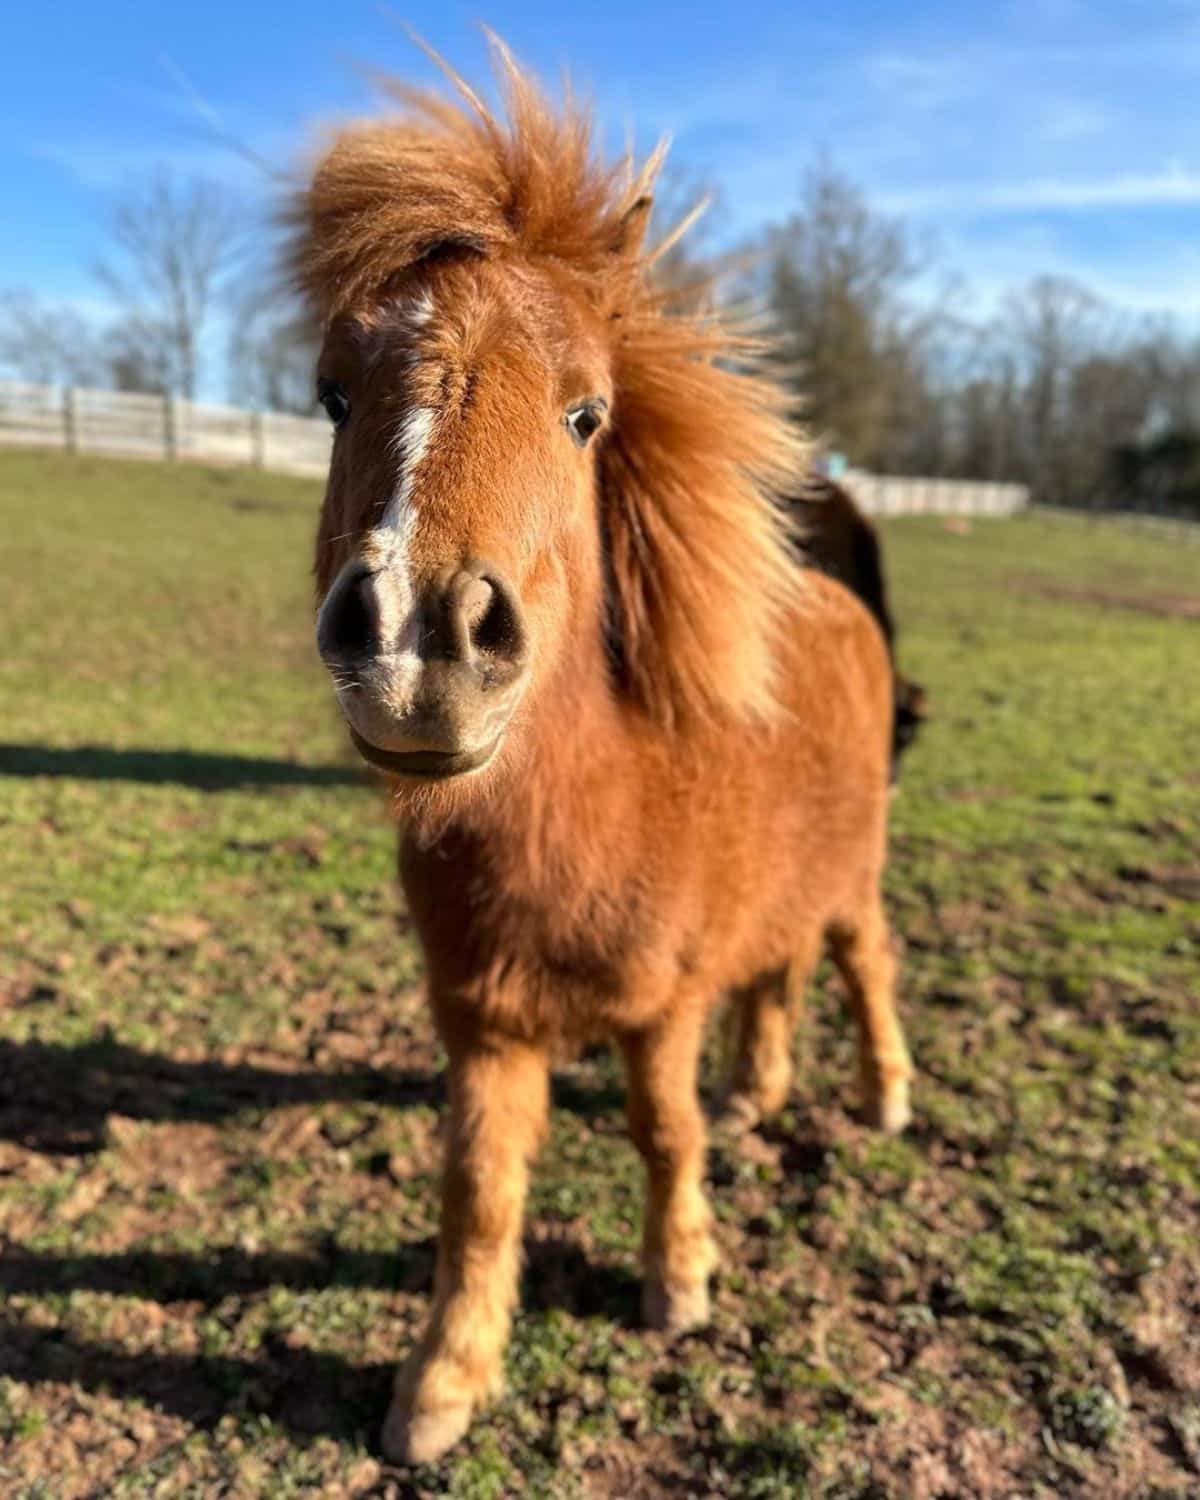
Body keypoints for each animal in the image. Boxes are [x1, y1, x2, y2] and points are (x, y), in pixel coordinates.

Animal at [291, 38, 912, 1464]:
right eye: (332, 394)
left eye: (587, 414)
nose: (419, 643)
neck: (591, 807)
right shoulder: (482, 1022)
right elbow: (476, 1192)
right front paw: (442, 1386)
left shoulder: (659, 1006)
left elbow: (660, 1130)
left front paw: (678, 1282)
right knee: (779, 974)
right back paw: (763, 1090)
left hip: (853, 878)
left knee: (863, 962)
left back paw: (885, 1099)